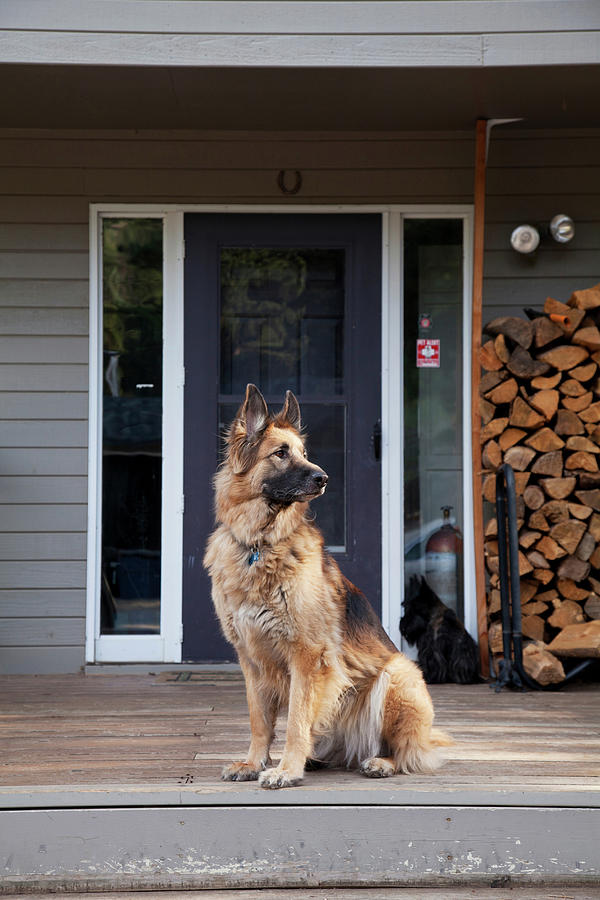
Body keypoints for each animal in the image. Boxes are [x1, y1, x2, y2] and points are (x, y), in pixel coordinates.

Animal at [203, 384, 450, 792]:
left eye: (304, 453)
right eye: (281, 453)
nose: (324, 478)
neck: (261, 544)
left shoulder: (307, 658)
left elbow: (296, 722)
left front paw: (285, 770)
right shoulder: (251, 660)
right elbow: (259, 722)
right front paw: (254, 764)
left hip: (397, 677)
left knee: (405, 751)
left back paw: (379, 762)